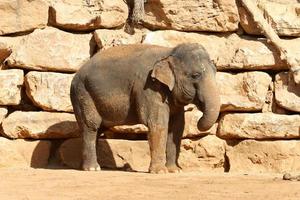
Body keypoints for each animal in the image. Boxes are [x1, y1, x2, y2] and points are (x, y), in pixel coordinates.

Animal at [70, 42, 220, 173]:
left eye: (216, 72)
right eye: (196, 75)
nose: (199, 119)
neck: (169, 52)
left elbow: (177, 128)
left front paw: (174, 171)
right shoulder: (149, 86)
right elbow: (158, 124)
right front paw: (160, 172)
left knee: (97, 129)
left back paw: (84, 167)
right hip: (82, 94)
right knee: (91, 126)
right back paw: (92, 168)